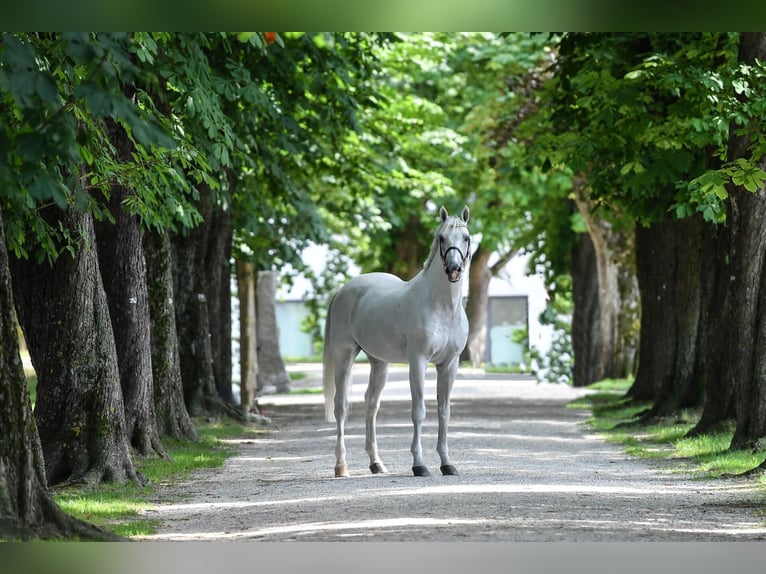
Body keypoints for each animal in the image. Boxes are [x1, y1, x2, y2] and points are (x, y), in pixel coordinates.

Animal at [320, 205, 472, 480]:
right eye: (441, 238)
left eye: (466, 238)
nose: (454, 269)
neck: (442, 306)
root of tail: (343, 291)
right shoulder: (418, 362)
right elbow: (419, 411)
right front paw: (419, 465)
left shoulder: (449, 364)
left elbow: (444, 412)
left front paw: (447, 463)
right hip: (344, 355)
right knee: (341, 406)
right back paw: (341, 466)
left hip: (379, 362)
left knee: (371, 404)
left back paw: (376, 463)